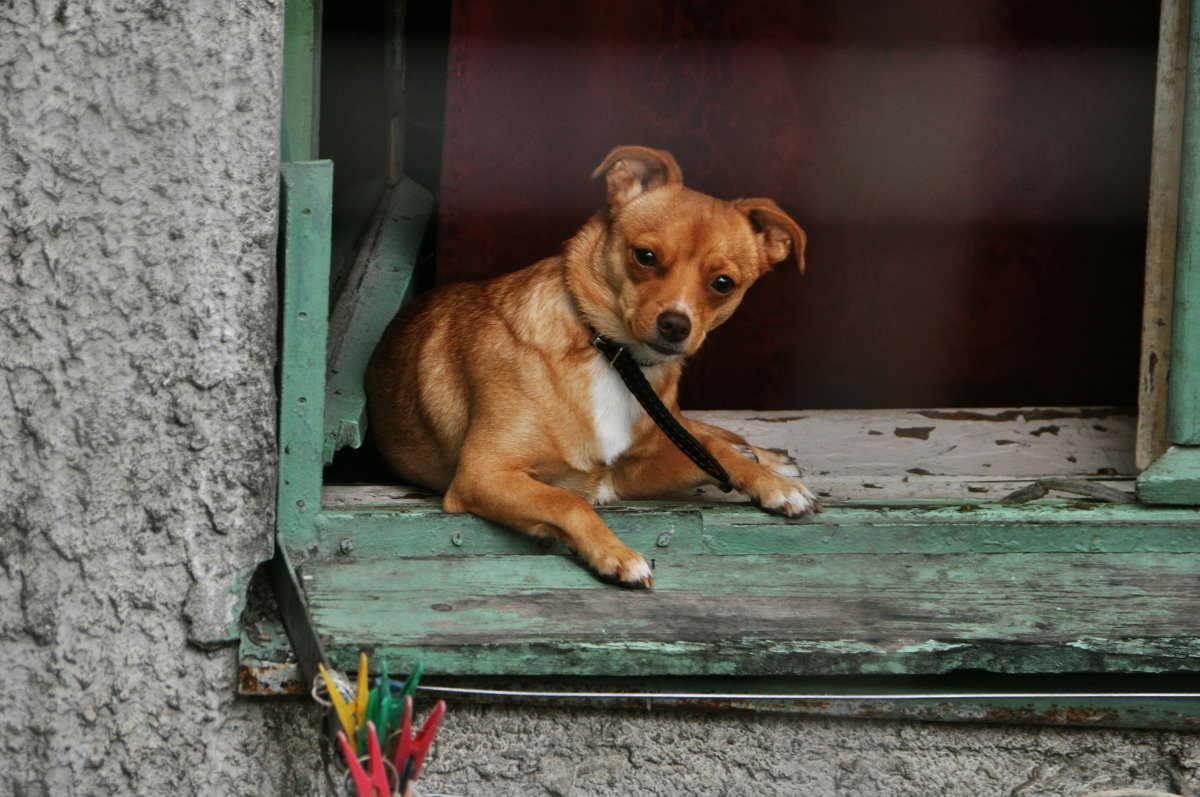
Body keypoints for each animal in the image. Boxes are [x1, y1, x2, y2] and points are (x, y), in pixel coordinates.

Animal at [364, 147, 816, 585]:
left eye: (724, 284)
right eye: (644, 257)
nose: (675, 323)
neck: (614, 358)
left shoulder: (625, 471)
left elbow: (711, 451)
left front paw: (774, 484)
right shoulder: (485, 475)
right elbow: (567, 502)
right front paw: (616, 554)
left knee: (707, 434)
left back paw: (769, 459)